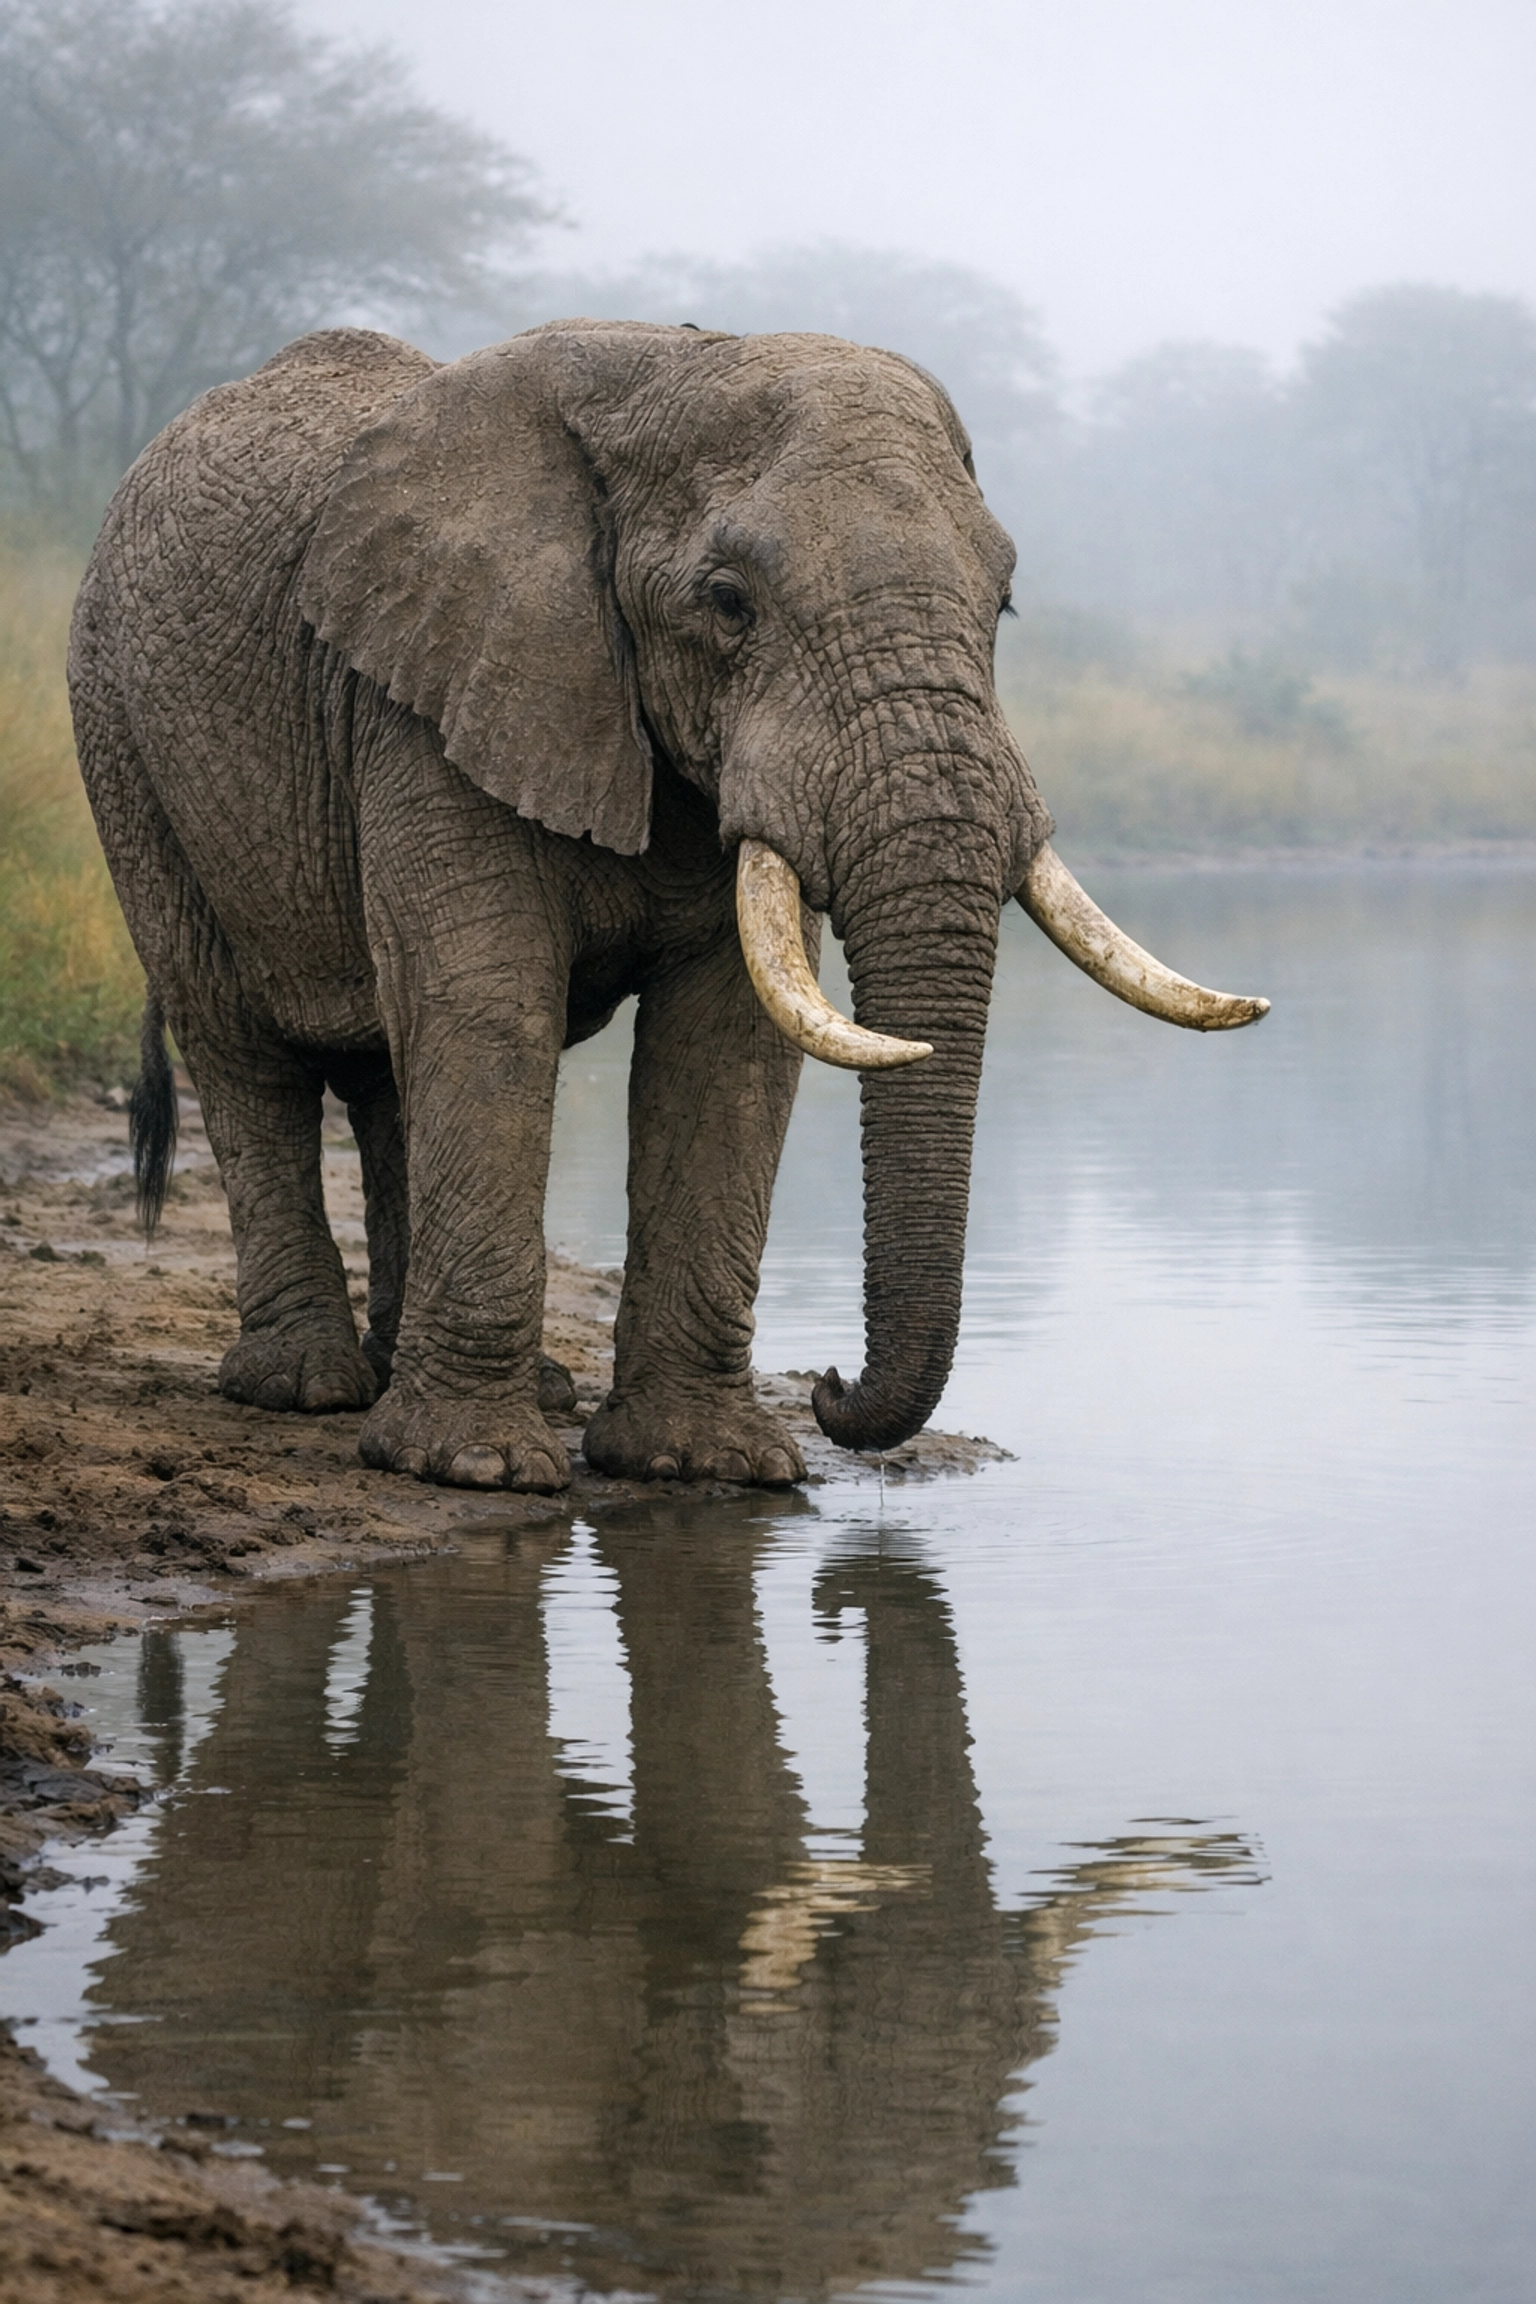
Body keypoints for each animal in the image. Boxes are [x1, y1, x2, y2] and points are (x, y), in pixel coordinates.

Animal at [68, 320, 1267, 1493]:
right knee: (241, 1049)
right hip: (121, 739)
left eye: (1004, 602)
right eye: (728, 603)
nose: (832, 1386)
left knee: (384, 1068)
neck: (663, 365)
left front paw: (698, 1463)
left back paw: (494, 1384)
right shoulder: (430, 703)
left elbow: (725, 1045)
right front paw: (474, 1467)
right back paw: (306, 1386)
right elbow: (485, 1004)